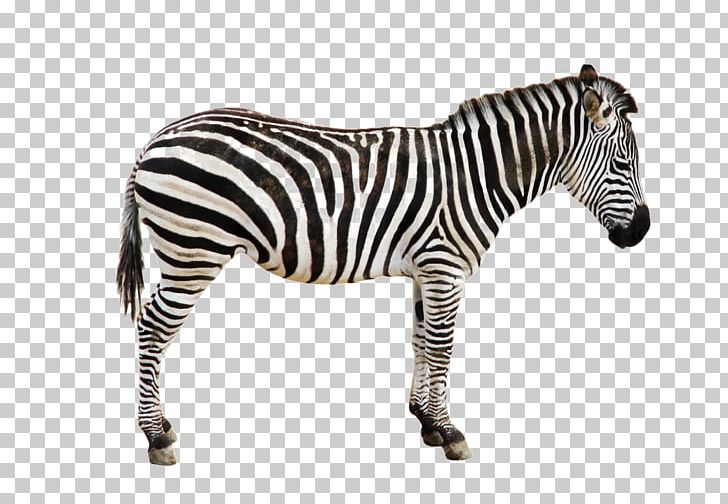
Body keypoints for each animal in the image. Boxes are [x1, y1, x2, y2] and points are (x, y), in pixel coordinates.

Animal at [117, 64, 649, 465]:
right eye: (623, 164)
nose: (641, 232)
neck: (478, 176)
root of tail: (156, 139)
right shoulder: (444, 266)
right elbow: (443, 347)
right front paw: (449, 431)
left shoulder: (425, 270)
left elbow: (422, 340)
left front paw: (424, 420)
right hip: (194, 249)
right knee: (153, 327)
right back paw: (156, 436)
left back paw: (161, 424)